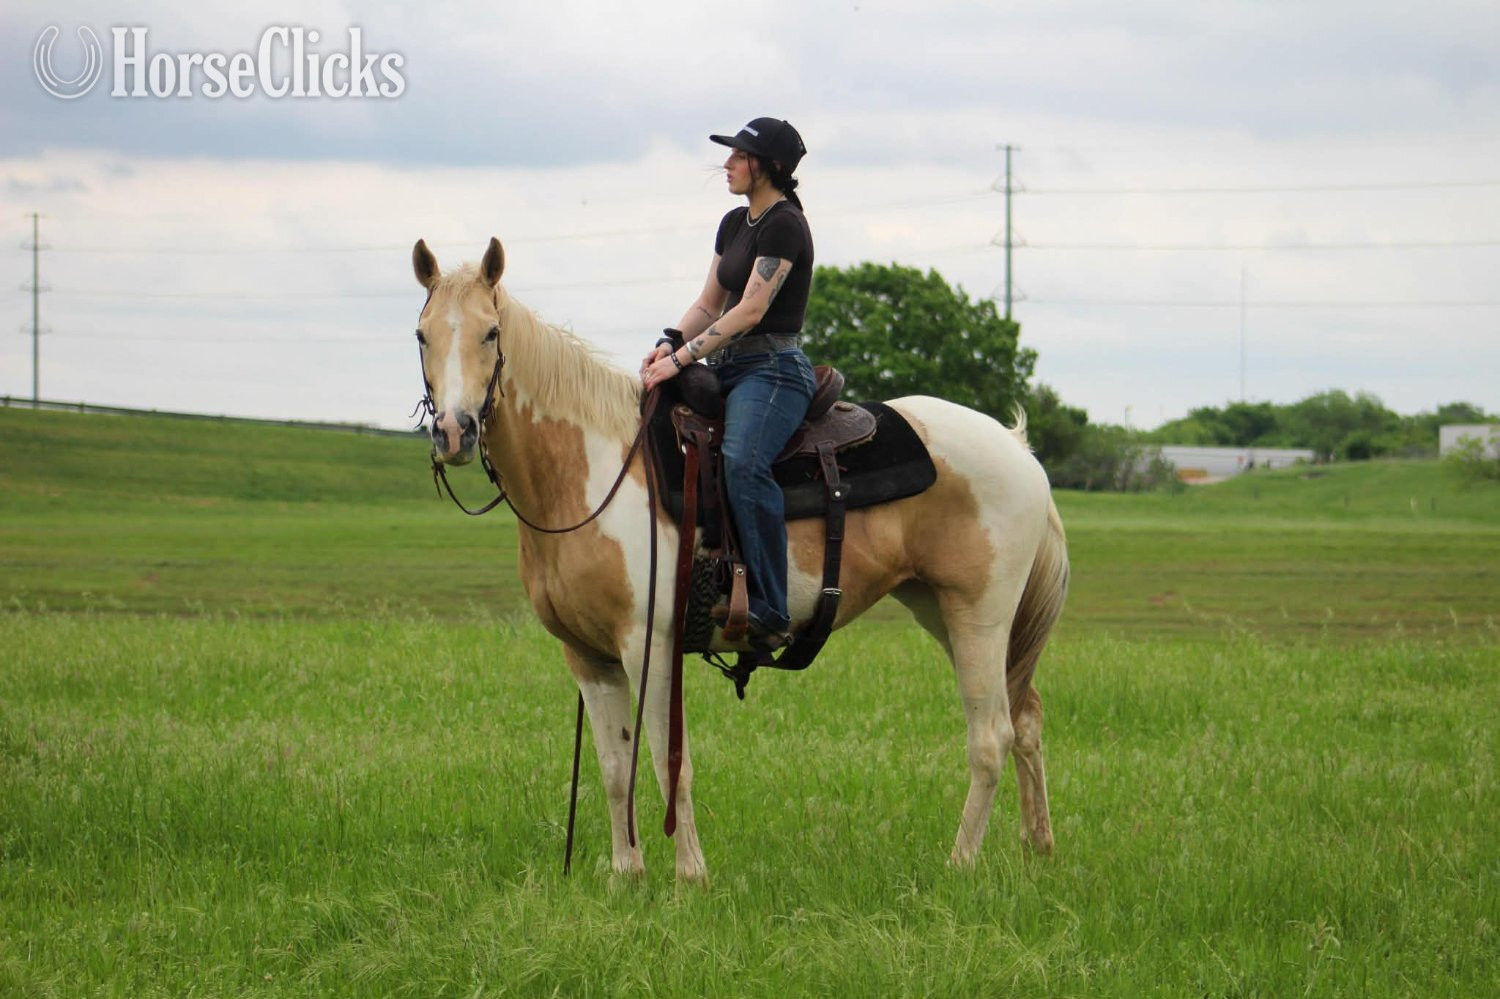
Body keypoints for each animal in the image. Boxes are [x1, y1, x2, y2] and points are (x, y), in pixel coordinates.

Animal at [412, 237, 1069, 882]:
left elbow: (668, 763)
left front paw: (690, 877)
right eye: (422, 335)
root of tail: (1017, 448)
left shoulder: (647, 645)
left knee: (992, 736)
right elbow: (616, 767)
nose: (454, 432)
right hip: (943, 612)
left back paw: (960, 864)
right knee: (1026, 719)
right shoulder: (588, 656)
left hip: (979, 614)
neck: (591, 472)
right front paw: (626, 875)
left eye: (491, 332)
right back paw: (1037, 848)